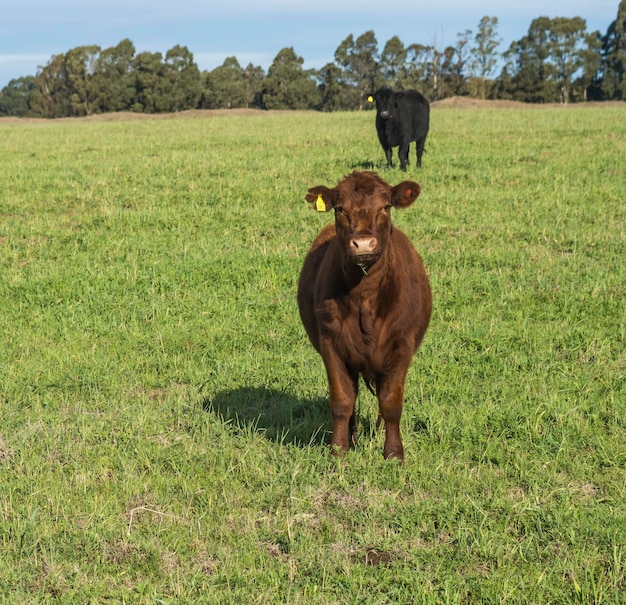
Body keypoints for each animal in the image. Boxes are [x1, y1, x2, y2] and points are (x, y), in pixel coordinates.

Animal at [296, 170, 428, 458]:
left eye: (385, 207)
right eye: (340, 209)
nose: (364, 243)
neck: (366, 296)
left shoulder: (402, 346)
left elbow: (391, 403)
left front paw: (394, 453)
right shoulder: (330, 344)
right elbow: (342, 400)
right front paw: (338, 450)